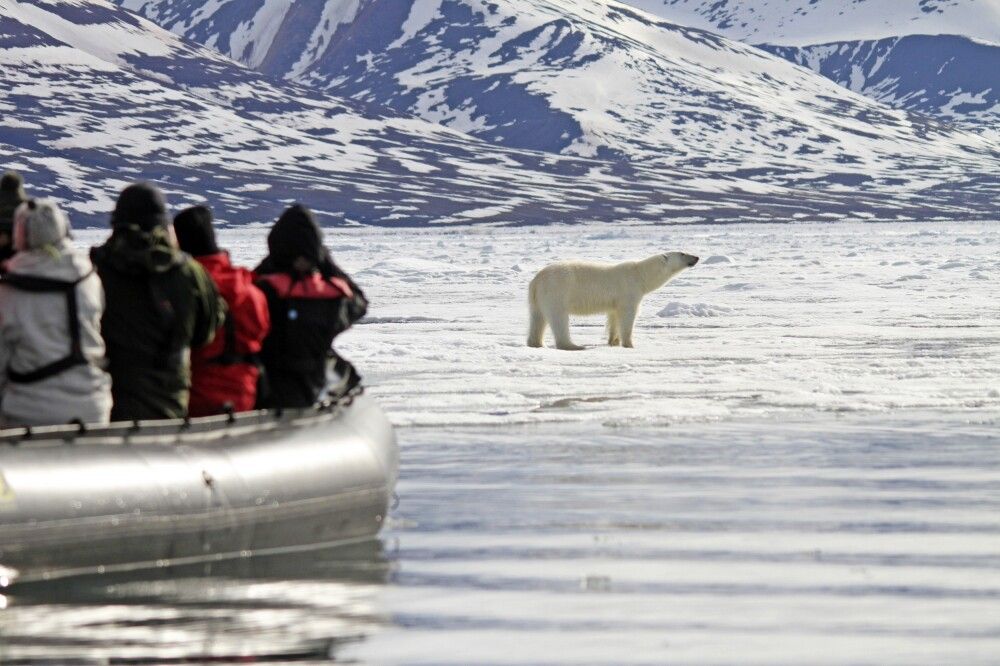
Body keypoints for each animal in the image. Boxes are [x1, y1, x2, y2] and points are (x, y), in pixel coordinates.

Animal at [528, 252, 700, 350]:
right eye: (683, 253)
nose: (697, 257)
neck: (640, 275)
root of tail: (537, 279)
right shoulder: (629, 290)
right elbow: (628, 316)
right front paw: (629, 344)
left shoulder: (616, 301)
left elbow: (614, 317)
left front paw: (613, 341)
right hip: (558, 290)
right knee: (559, 318)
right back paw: (573, 345)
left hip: (538, 298)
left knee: (537, 318)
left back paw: (536, 343)